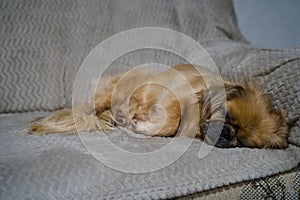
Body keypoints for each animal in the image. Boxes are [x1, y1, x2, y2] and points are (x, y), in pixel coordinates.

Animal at [28, 64, 288, 148]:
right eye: (226, 115)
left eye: (242, 141)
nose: (225, 133)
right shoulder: (168, 92)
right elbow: (170, 115)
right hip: (107, 92)